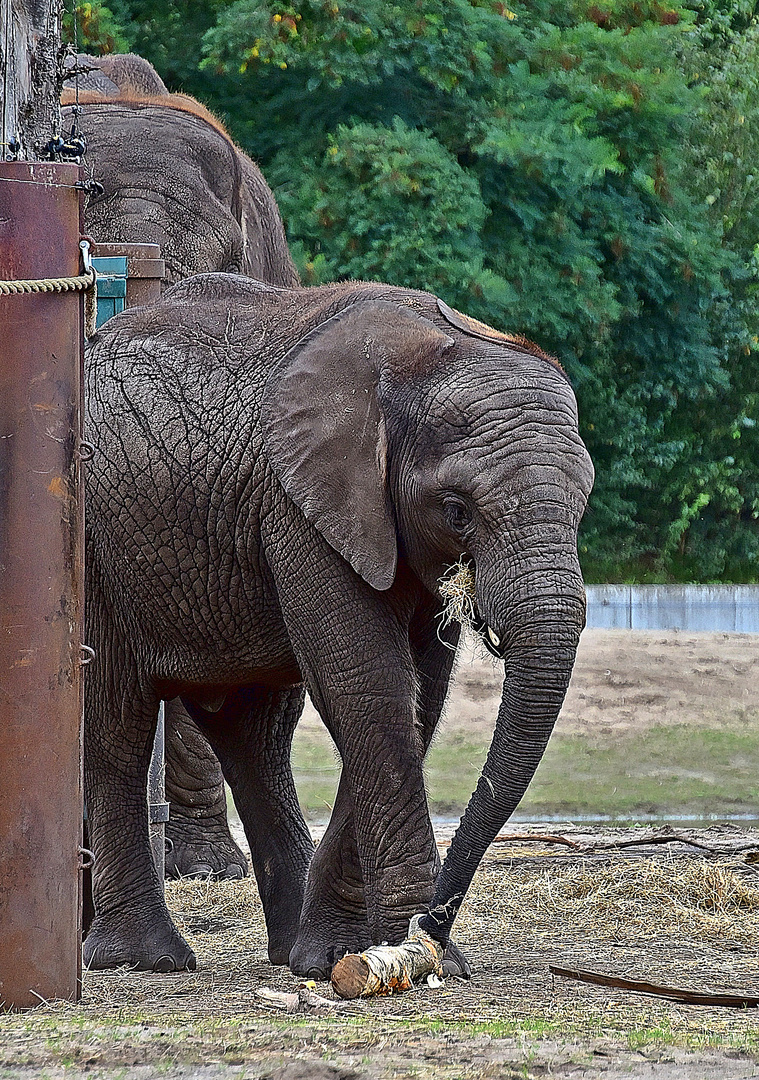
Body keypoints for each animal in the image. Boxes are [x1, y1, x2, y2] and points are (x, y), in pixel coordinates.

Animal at [83, 274, 595, 976]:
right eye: (457, 509)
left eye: (584, 503)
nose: (434, 926)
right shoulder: (302, 507)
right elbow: (367, 683)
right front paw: (409, 952)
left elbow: (416, 697)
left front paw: (347, 954)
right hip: (95, 554)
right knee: (117, 719)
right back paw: (146, 959)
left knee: (255, 732)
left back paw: (289, 955)